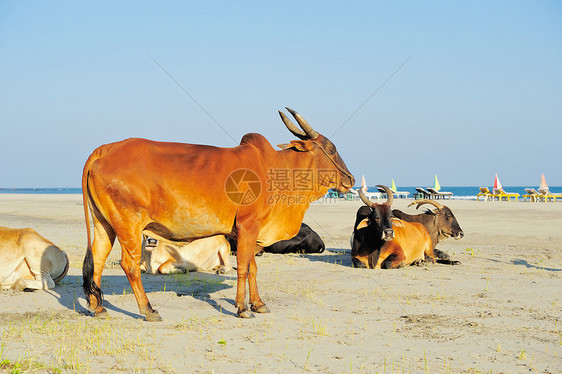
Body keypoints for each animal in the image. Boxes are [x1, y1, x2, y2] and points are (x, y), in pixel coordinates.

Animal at [81, 109, 352, 322]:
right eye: (331, 148)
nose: (349, 179)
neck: (274, 169)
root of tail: (105, 149)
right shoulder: (249, 226)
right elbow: (243, 267)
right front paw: (243, 308)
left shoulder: (246, 231)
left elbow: (252, 268)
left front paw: (258, 304)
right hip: (128, 225)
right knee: (129, 265)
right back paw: (148, 310)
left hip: (104, 224)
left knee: (98, 259)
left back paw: (98, 308)